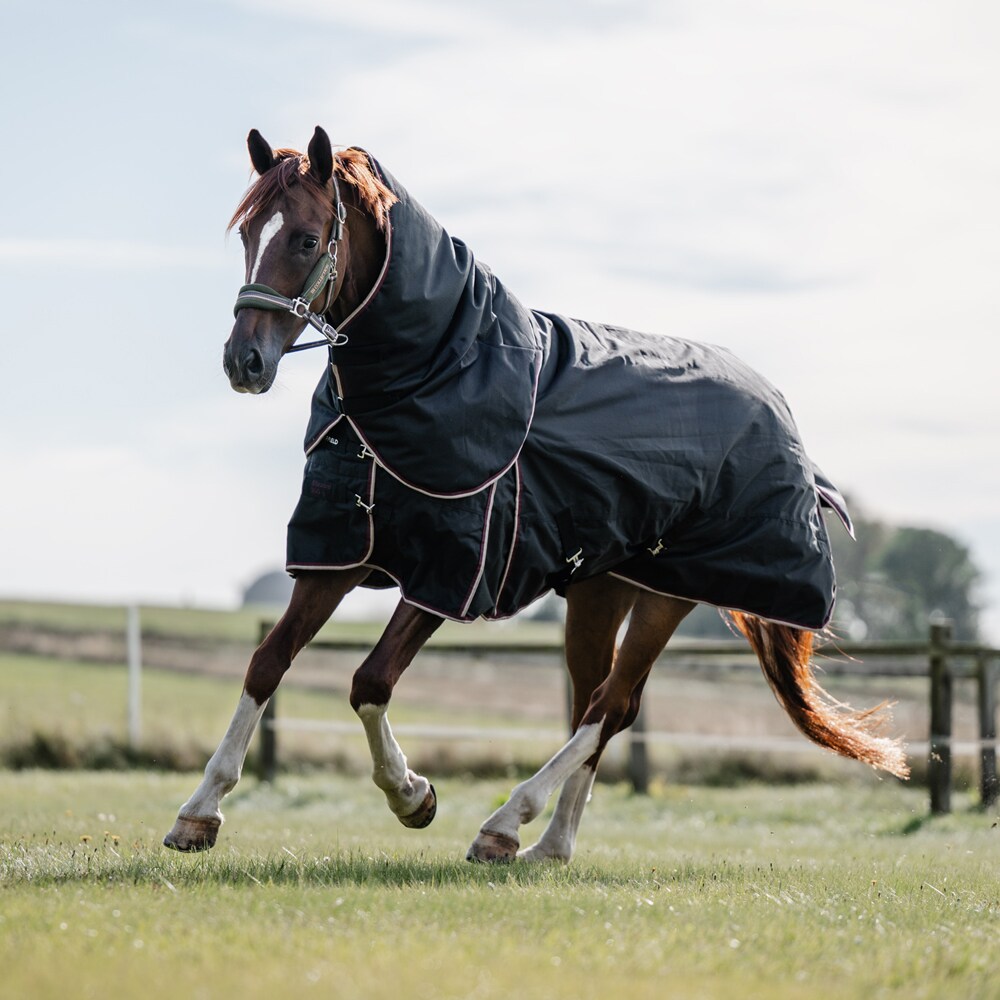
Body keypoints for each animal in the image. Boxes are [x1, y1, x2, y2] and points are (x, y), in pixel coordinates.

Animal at [164, 123, 908, 860]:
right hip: (602, 590)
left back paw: (506, 822)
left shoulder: (452, 571)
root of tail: (779, 413)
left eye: (305, 239)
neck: (433, 375)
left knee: (609, 707)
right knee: (599, 704)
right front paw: (199, 812)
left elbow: (369, 680)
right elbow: (267, 663)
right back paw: (548, 845)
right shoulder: (340, 554)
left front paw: (413, 796)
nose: (244, 362)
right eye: (247, 234)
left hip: (668, 595)